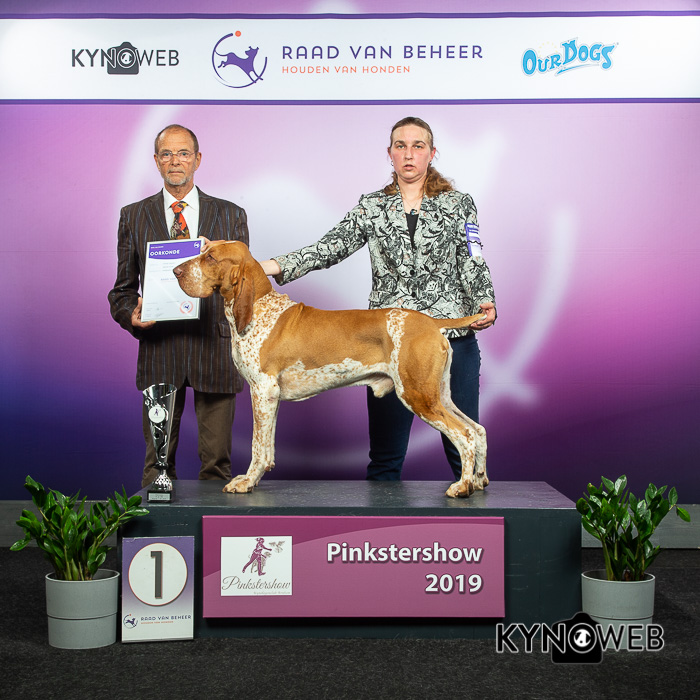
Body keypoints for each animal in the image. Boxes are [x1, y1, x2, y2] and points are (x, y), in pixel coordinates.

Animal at [173, 241, 488, 498]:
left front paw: (248, 481)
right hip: (439, 395)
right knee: (478, 429)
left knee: (464, 435)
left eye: (210, 257)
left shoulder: (261, 391)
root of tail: (432, 322)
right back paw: (479, 480)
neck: (258, 309)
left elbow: (256, 446)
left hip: (419, 396)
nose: (176, 270)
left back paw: (463, 486)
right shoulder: (270, 397)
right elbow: (268, 445)